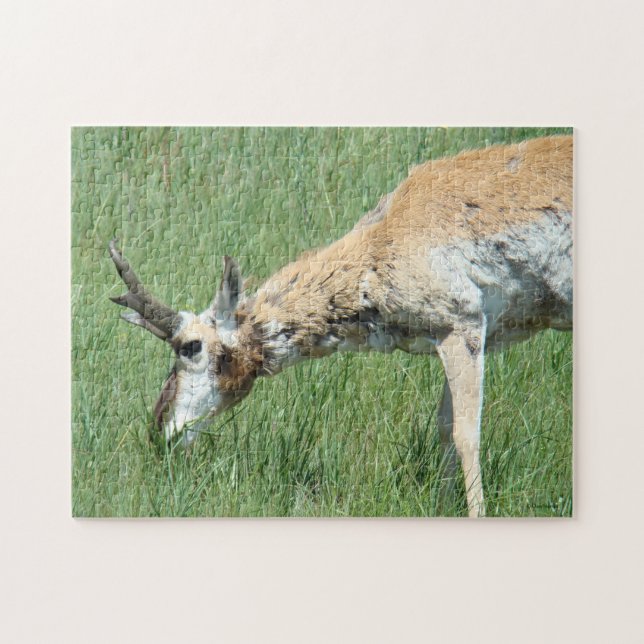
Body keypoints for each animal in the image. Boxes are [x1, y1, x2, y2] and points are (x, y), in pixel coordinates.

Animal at [109, 135, 573, 517]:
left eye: (190, 346)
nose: (158, 433)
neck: (383, 240)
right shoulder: (449, 335)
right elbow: (444, 429)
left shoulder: (465, 329)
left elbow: (466, 434)